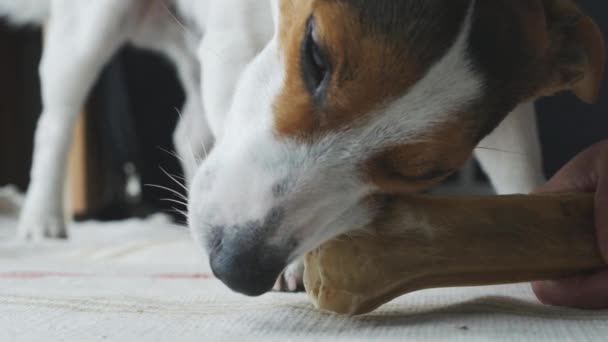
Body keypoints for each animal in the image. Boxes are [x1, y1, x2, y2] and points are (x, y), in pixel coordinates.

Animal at [1, 0, 604, 296]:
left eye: (421, 170)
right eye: (315, 53)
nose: (237, 267)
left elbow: (520, 167)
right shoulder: (235, 45)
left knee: (189, 131)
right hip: (91, 29)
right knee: (55, 120)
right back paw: (42, 218)